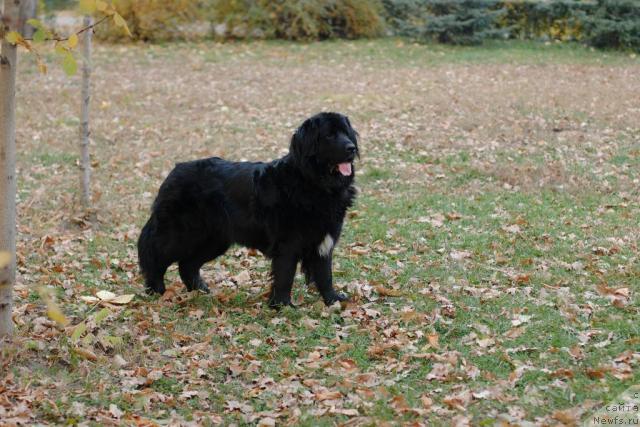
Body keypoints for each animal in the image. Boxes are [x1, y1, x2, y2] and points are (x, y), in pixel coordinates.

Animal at [138, 112, 358, 310]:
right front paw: (283, 306)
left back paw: (200, 290)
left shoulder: (324, 242)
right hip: (180, 234)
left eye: (346, 133)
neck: (313, 183)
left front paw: (333, 300)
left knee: (187, 264)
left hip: (214, 239)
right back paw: (156, 289)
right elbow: (285, 275)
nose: (352, 148)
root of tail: (174, 171)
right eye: (329, 135)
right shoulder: (287, 244)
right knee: (155, 255)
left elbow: (325, 275)